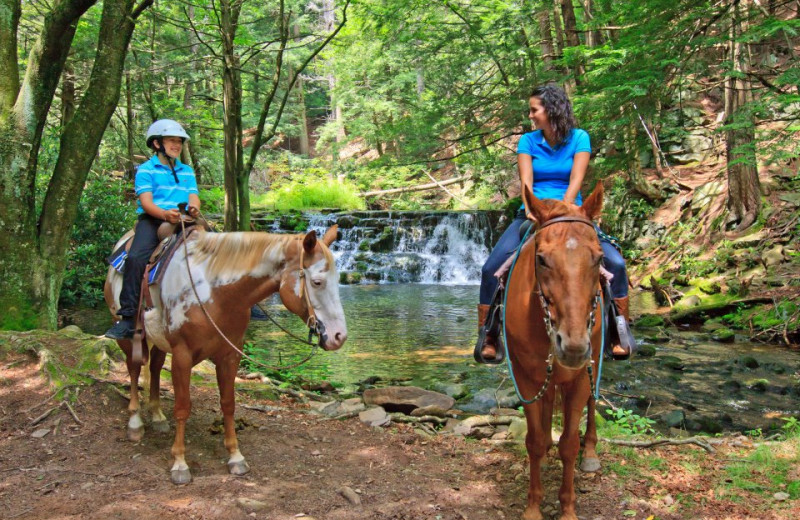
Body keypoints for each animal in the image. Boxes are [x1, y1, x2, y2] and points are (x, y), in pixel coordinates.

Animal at [104, 225, 346, 486]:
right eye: (317, 282)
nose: (339, 336)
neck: (213, 291)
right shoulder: (182, 355)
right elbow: (182, 407)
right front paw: (179, 463)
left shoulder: (230, 355)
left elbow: (228, 404)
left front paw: (235, 457)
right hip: (126, 331)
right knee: (133, 368)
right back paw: (135, 423)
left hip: (160, 340)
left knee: (156, 366)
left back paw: (158, 416)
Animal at [506, 184, 608, 520]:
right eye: (541, 259)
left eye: (599, 258)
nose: (573, 346)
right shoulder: (525, 377)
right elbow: (535, 441)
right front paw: (533, 507)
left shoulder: (578, 378)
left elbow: (569, 445)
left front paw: (568, 508)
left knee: (592, 401)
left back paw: (591, 452)